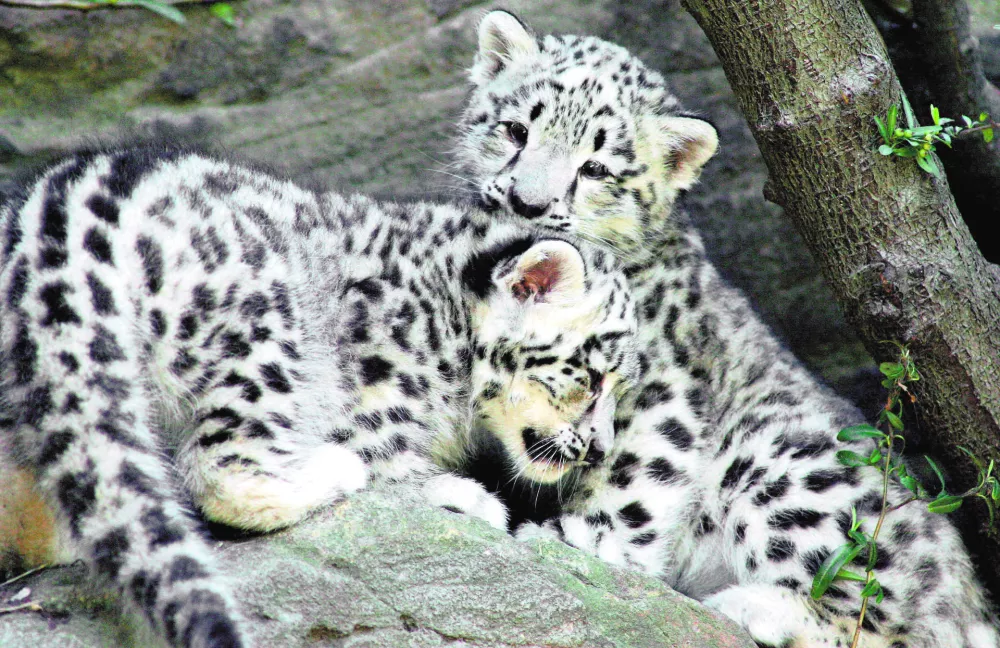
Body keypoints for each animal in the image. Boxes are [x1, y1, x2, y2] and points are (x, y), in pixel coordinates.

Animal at [0, 146, 639, 648]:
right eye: (592, 376)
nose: (599, 448)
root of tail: (55, 227)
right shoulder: (374, 404)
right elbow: (395, 466)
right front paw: (472, 499)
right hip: (263, 334)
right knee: (222, 468)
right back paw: (331, 469)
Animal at [451, 10, 1000, 647]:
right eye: (516, 130)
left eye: (596, 168)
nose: (527, 201)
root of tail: (970, 594)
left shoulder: (659, 386)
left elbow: (635, 474)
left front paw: (584, 540)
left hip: (786, 467)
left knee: (884, 620)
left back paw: (753, 606)